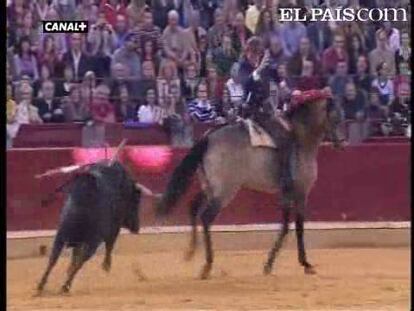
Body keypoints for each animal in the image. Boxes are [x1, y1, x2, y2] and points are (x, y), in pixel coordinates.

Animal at [36, 161, 142, 294]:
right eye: (136, 203)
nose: (137, 228)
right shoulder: (112, 228)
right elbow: (109, 244)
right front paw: (106, 265)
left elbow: (73, 258)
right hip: (92, 241)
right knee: (80, 260)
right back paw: (65, 285)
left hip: (61, 235)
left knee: (53, 259)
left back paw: (41, 285)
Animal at [157, 98, 344, 280]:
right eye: (336, 118)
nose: (341, 143)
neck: (301, 139)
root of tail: (208, 138)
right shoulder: (300, 192)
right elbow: (296, 227)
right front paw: (304, 264)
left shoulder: (286, 194)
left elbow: (285, 226)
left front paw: (270, 265)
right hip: (225, 190)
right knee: (206, 217)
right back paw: (207, 266)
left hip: (209, 187)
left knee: (193, 207)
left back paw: (190, 251)